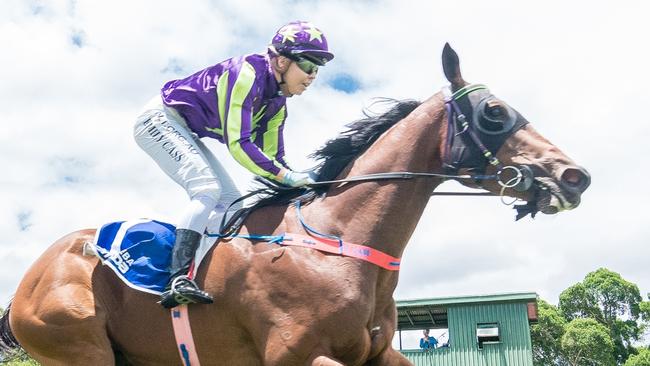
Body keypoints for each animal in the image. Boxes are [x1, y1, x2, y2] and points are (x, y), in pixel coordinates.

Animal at [0, 44, 588, 364]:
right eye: (494, 112)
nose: (574, 175)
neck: (337, 239)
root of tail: (31, 276)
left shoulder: (377, 353)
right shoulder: (295, 355)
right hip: (78, 345)